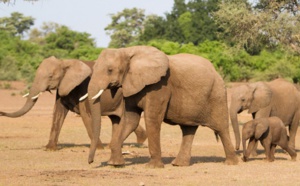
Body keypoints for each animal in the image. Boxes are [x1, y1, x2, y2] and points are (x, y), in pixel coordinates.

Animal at [0, 56, 146, 150]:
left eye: (50, 76)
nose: (1, 112)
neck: (65, 62)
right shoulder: (63, 86)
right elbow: (58, 113)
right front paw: (49, 148)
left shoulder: (83, 87)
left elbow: (86, 115)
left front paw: (98, 148)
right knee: (116, 118)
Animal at [86, 45, 239, 168]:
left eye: (110, 70)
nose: (90, 162)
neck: (128, 51)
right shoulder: (130, 86)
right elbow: (130, 121)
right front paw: (115, 164)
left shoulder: (159, 86)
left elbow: (152, 119)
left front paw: (153, 167)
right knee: (188, 130)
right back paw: (179, 165)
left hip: (217, 94)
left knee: (221, 128)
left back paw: (231, 163)